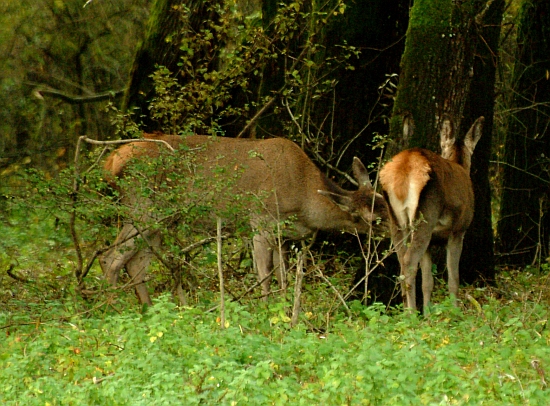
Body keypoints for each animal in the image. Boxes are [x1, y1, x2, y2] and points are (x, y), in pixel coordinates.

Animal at [382, 116, 486, 312]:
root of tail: (406, 164)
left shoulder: (431, 242)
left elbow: (428, 281)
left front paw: (429, 313)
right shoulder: (458, 230)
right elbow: (453, 279)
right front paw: (455, 312)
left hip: (395, 219)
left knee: (401, 261)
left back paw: (407, 310)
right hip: (426, 215)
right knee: (409, 261)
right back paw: (412, 313)